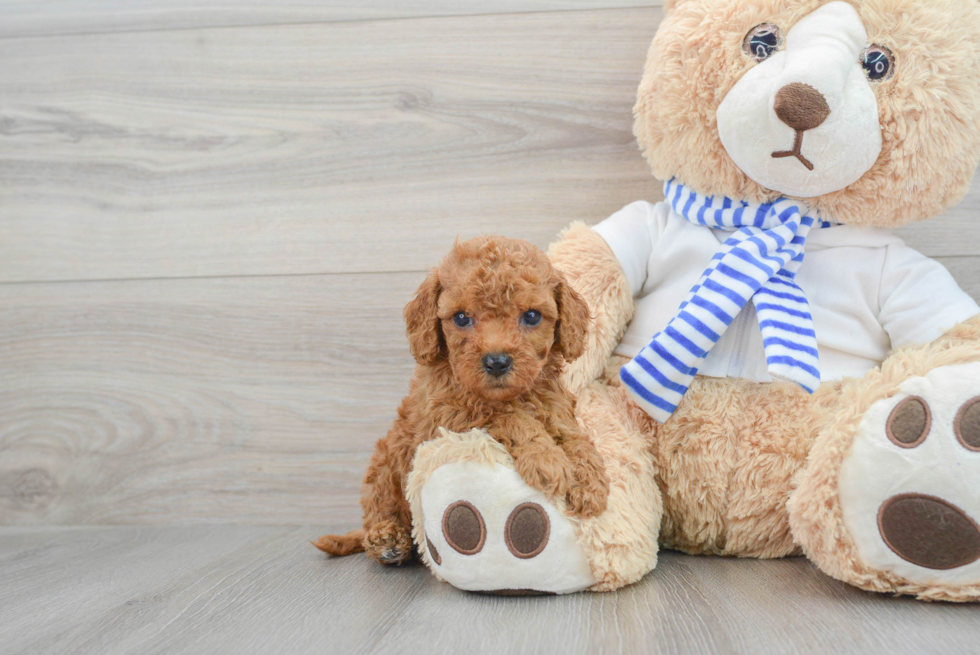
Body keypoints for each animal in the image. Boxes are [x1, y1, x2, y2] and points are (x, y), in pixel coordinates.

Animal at [316, 234, 604, 564]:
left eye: (531, 316)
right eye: (462, 318)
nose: (496, 361)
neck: (506, 395)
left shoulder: (554, 405)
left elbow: (573, 436)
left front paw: (589, 479)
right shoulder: (445, 418)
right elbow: (507, 417)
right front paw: (547, 459)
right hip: (385, 466)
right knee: (378, 510)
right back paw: (387, 540)